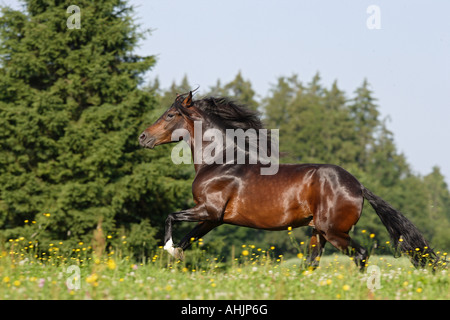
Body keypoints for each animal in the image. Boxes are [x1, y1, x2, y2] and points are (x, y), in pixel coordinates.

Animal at [140, 90, 436, 270]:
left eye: (170, 114)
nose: (143, 137)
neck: (220, 160)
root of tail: (357, 185)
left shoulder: (208, 210)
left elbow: (170, 217)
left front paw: (168, 249)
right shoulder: (213, 218)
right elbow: (187, 239)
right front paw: (175, 257)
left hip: (334, 231)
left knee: (360, 255)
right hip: (318, 232)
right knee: (311, 263)